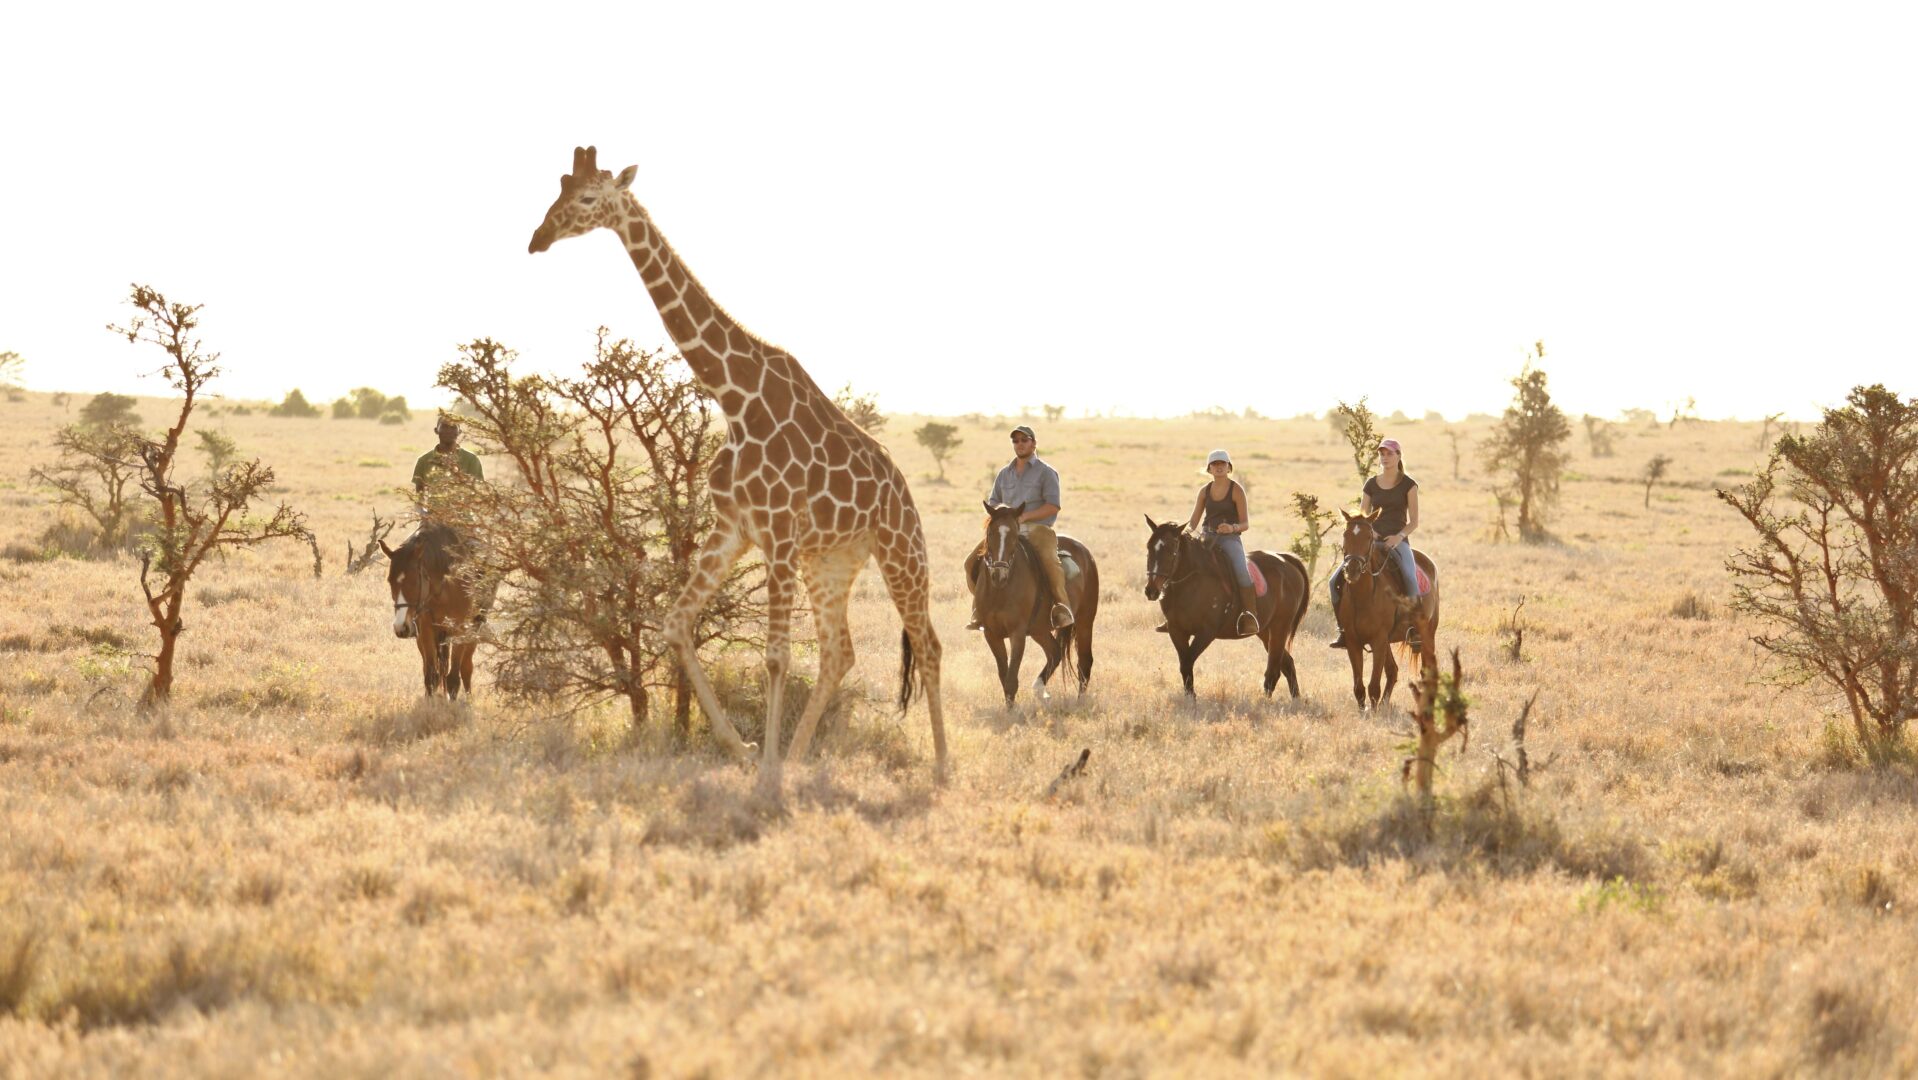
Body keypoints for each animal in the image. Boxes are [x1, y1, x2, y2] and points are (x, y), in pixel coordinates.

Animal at [382, 524, 482, 699]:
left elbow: (454, 677)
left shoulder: (460, 628)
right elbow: (430, 676)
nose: (400, 627)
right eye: (390, 581)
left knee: (466, 667)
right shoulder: (426, 629)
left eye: (414, 581)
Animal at [968, 503, 1098, 706]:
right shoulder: (991, 633)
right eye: (990, 533)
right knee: (1055, 652)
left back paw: (1079, 702)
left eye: (1014, 535)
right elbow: (1003, 676)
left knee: (1084, 661)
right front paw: (1009, 708)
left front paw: (1012, 712)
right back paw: (1039, 688)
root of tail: (1086, 553)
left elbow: (1011, 679)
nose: (999, 575)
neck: (1000, 590)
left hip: (1085, 621)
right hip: (1039, 630)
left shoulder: (1018, 633)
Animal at [1143, 516, 1310, 697]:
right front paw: (1189, 697)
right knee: (1287, 664)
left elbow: (1187, 662)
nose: (1151, 591)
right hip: (1265, 631)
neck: (1190, 583)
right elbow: (1184, 665)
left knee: (1274, 670)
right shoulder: (1177, 631)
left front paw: (1192, 698)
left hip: (1280, 626)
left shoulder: (1206, 632)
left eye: (1171, 550)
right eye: (1149, 547)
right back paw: (1295, 699)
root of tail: (1286, 559)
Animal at [1333, 507, 1441, 709]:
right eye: (1345, 535)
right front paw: (1365, 710)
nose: (1352, 570)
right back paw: (1385, 704)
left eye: (1369, 536)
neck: (1364, 596)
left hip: (1427, 633)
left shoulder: (1378, 640)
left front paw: (1374, 712)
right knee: (1393, 670)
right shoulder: (1353, 641)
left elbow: (1373, 685)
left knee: (1427, 670)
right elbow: (1359, 686)